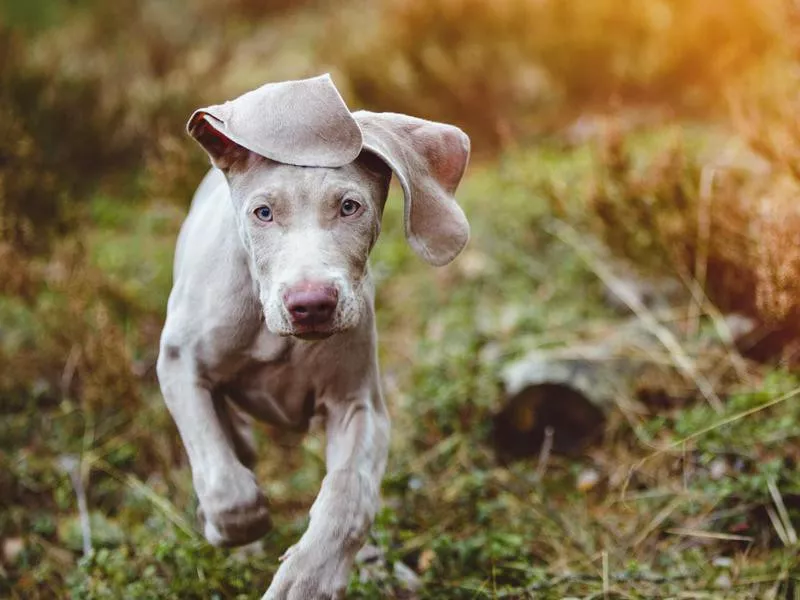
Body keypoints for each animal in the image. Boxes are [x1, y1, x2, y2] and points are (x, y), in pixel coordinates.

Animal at [156, 75, 468, 600]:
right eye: (263, 213)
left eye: (350, 207)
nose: (311, 303)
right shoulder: (180, 363)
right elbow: (226, 485)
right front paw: (231, 527)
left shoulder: (358, 404)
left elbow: (348, 498)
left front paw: (307, 579)